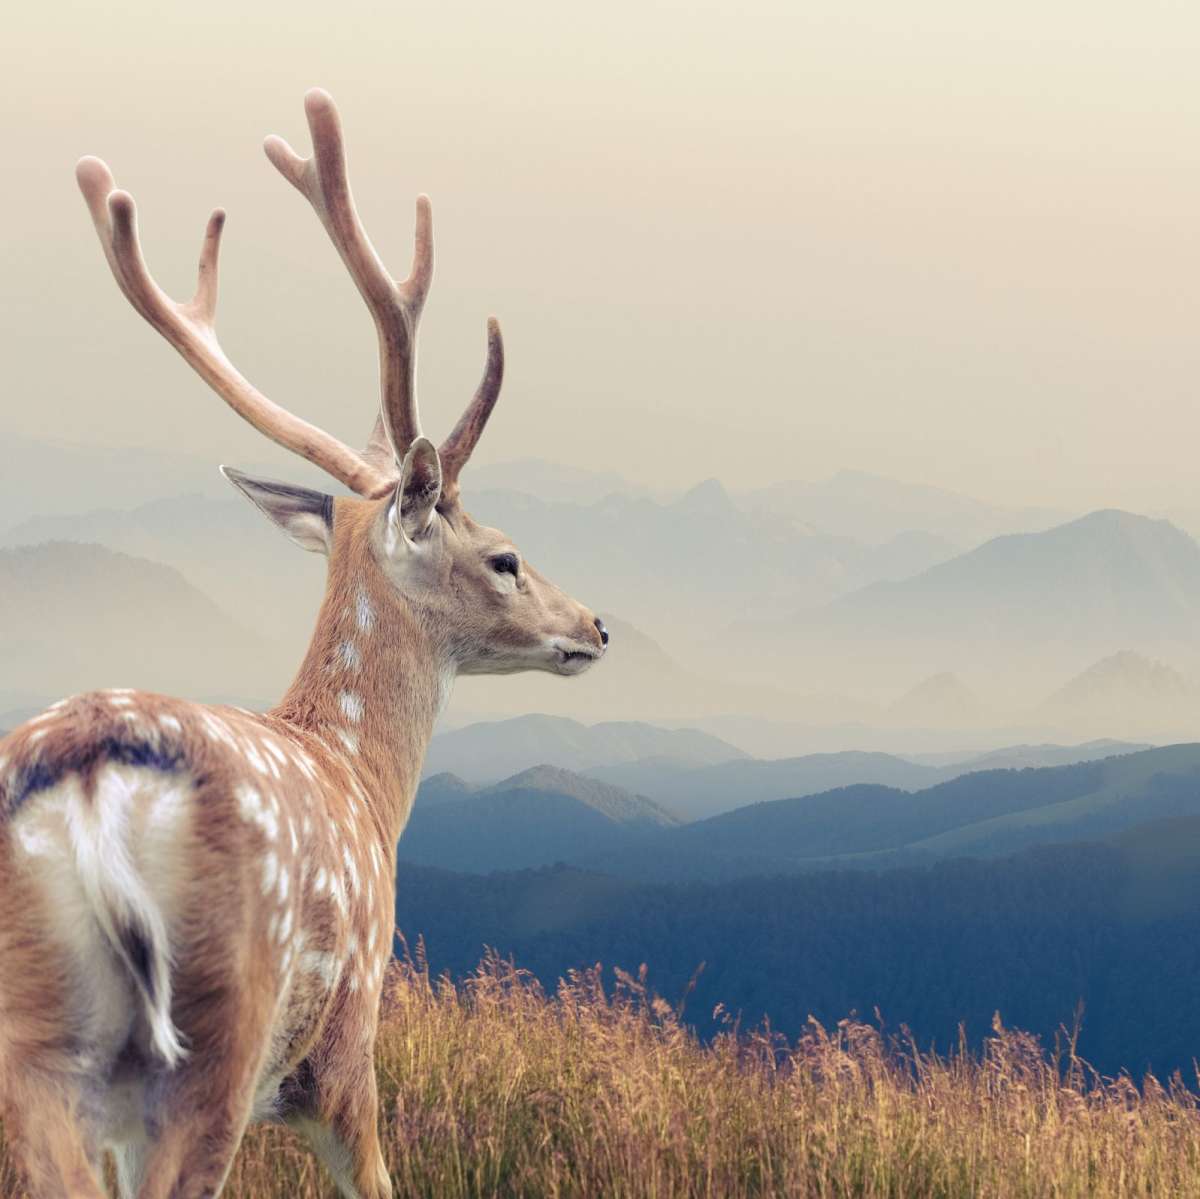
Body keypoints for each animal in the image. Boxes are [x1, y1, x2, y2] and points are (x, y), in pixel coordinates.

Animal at [0, 89, 608, 1199]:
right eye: (504, 557)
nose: (593, 625)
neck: (362, 777)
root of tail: (94, 784)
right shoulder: (347, 1048)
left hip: (37, 1047)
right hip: (217, 1039)